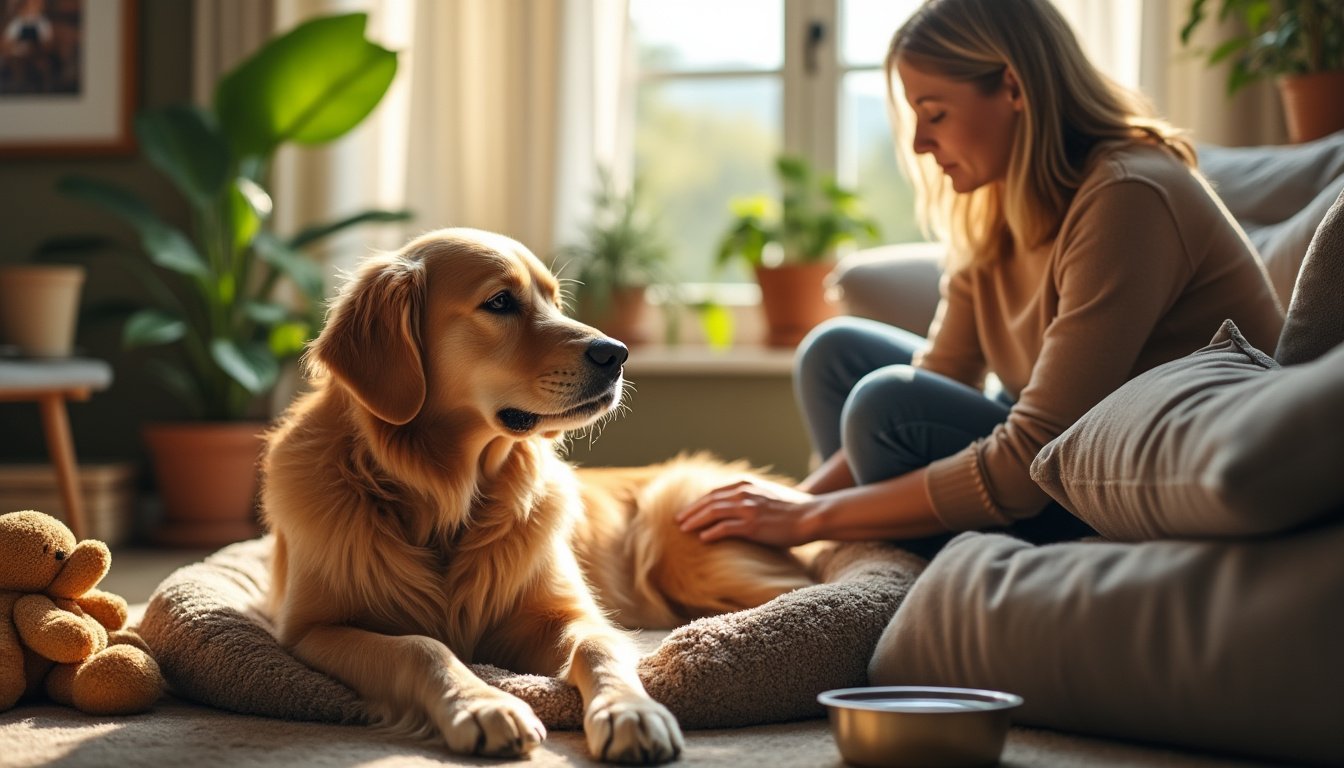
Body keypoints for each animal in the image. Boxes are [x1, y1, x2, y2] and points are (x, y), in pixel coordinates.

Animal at [259, 227, 806, 763]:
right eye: (500, 302)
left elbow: (598, 647)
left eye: (555, 300)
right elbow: (419, 646)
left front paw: (631, 711)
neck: (449, 494)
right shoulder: (311, 631)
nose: (617, 353)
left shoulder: (567, 614)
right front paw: (481, 704)